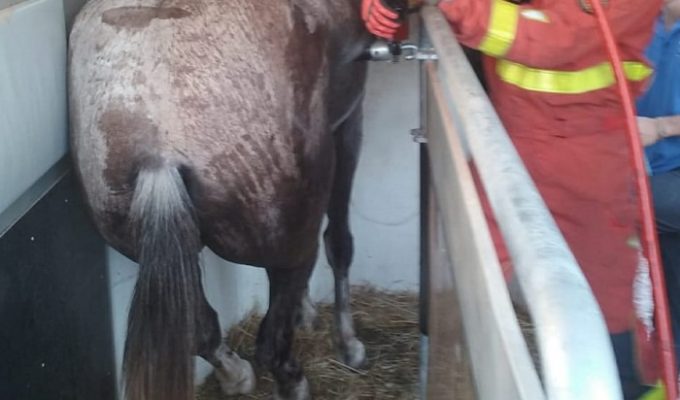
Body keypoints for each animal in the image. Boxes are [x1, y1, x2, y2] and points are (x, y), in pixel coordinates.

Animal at [68, 1, 372, 399]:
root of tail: (157, 148)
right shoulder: (348, 122)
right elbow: (340, 243)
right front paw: (348, 344)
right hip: (290, 246)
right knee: (271, 344)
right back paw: (292, 381)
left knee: (203, 329)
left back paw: (236, 375)